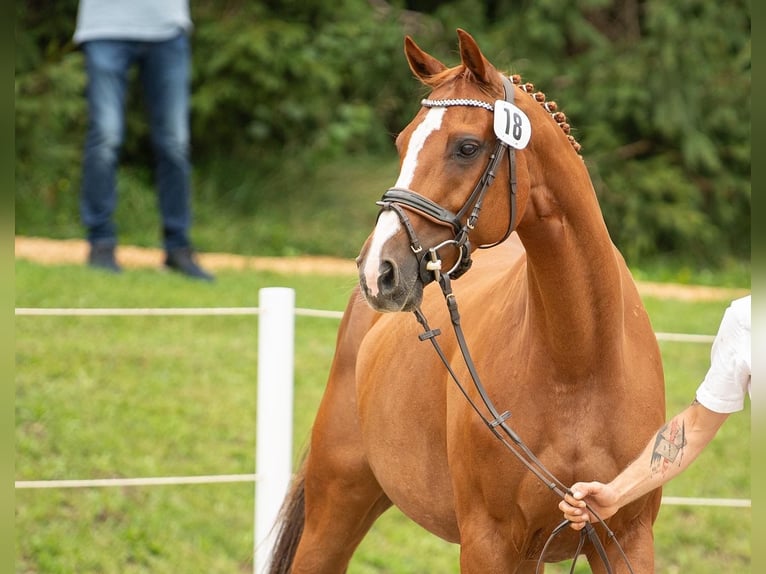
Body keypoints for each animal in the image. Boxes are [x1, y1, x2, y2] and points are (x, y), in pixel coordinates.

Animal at [268, 29, 665, 573]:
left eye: (467, 146)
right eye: (402, 143)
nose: (378, 270)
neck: (580, 363)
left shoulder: (626, 539)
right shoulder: (488, 542)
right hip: (336, 507)